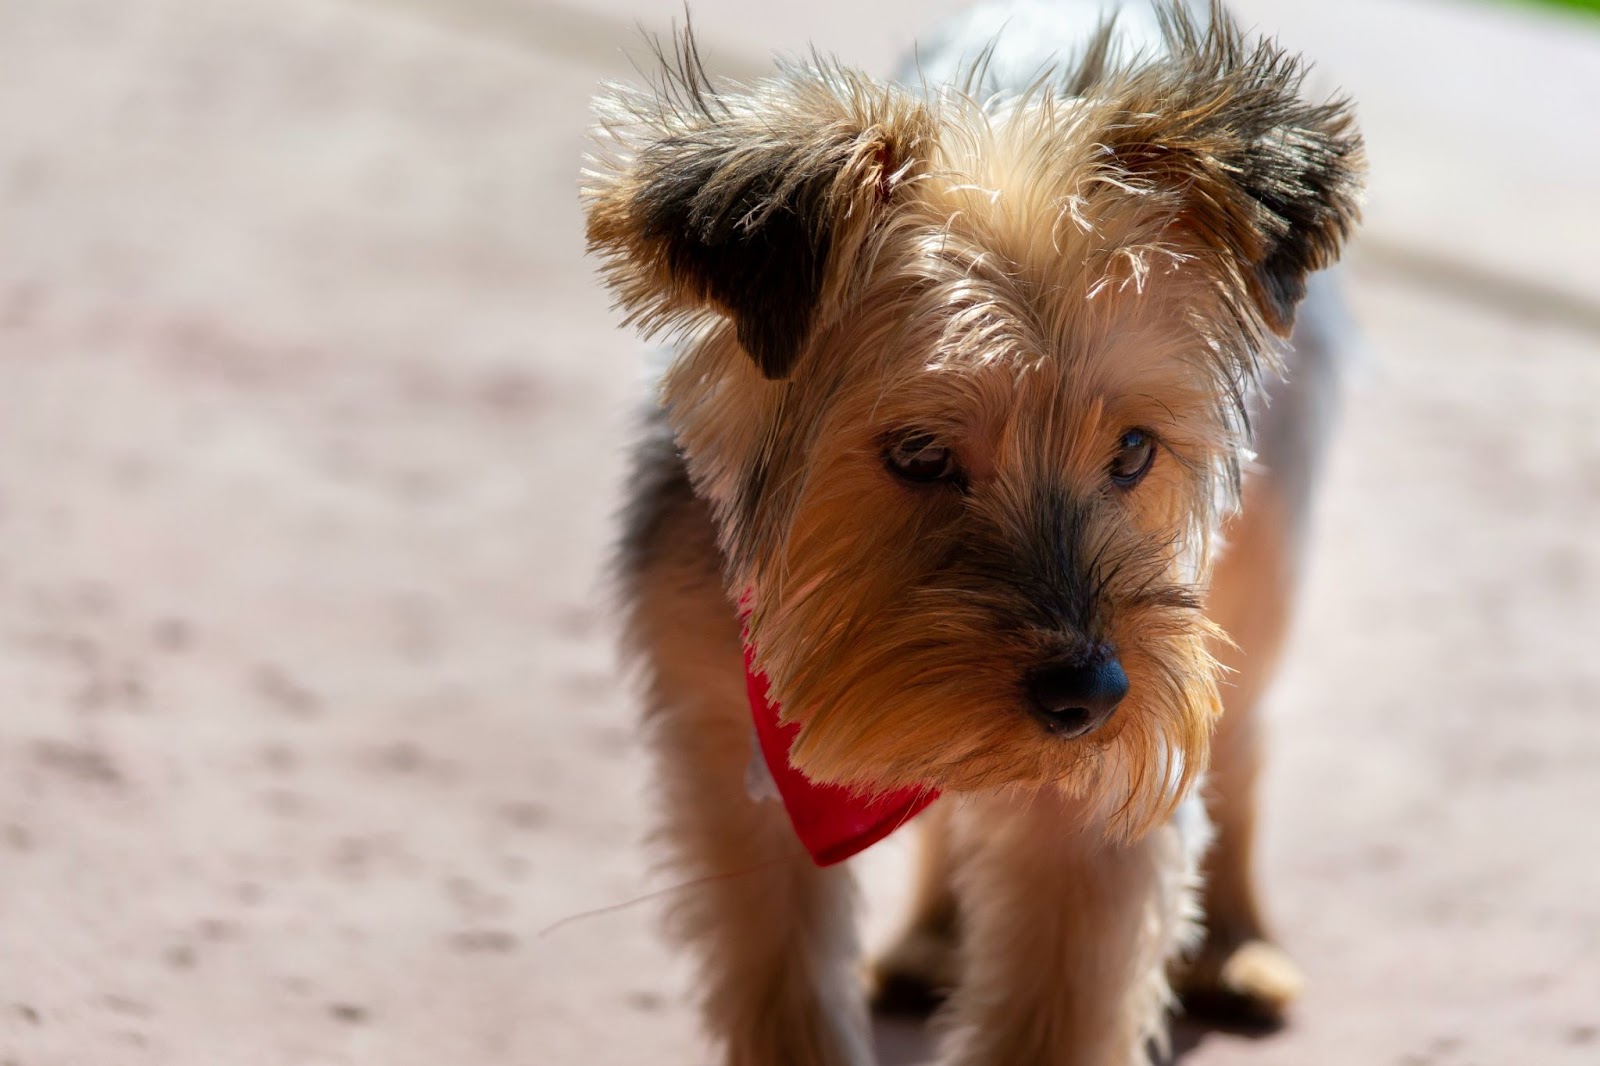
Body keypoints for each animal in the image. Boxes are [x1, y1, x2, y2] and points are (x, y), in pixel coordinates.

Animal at [588, 2, 1363, 1056]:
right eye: (919, 454)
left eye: (1132, 452)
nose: (1088, 693)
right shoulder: (723, 755)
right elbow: (782, 986)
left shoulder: (1099, 803)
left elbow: (1056, 1007)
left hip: (1257, 564)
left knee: (1238, 743)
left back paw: (1238, 942)